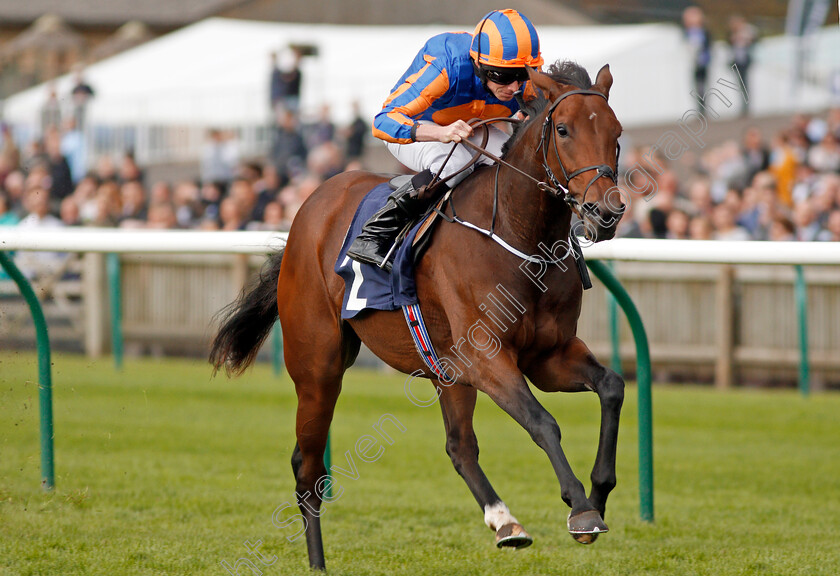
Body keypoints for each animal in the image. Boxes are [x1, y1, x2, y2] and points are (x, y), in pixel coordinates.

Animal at [213, 60, 628, 568]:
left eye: (617, 133)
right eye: (564, 130)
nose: (605, 211)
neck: (519, 235)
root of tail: (311, 204)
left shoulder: (547, 355)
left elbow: (611, 387)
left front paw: (599, 492)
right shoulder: (486, 356)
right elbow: (542, 421)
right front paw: (582, 510)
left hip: (444, 369)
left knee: (459, 447)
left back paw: (505, 522)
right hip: (319, 366)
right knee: (306, 466)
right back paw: (317, 562)